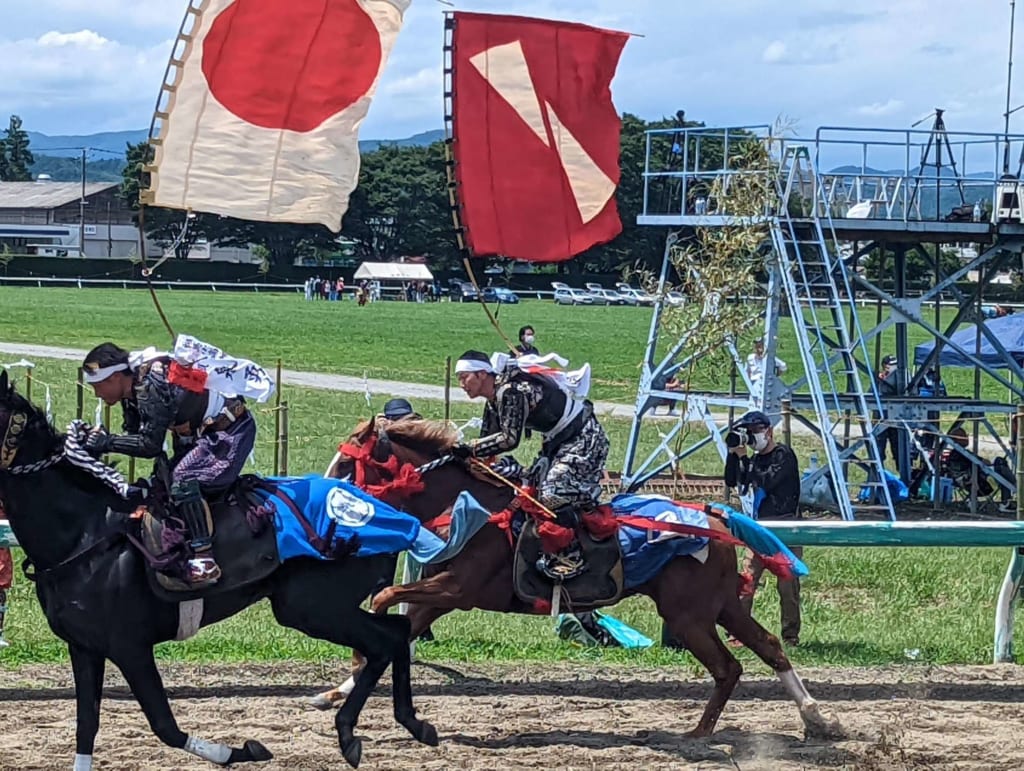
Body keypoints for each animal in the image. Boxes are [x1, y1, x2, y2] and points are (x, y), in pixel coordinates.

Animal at [0, 370, 436, 765]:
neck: (85, 532)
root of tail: (394, 515)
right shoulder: (84, 646)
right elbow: (86, 726)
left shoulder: (130, 646)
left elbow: (165, 725)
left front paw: (243, 750)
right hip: (319, 607)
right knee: (397, 631)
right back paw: (408, 723)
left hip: (313, 607)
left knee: (386, 639)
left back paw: (352, 731)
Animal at [317, 421, 839, 741]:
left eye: (346, 466)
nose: (322, 499)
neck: (473, 509)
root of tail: (713, 514)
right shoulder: (442, 595)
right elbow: (402, 623)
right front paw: (335, 692)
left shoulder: (455, 590)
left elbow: (385, 597)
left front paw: (354, 671)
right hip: (721, 606)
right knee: (769, 647)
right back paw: (815, 718)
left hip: (688, 616)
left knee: (728, 667)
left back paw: (698, 734)